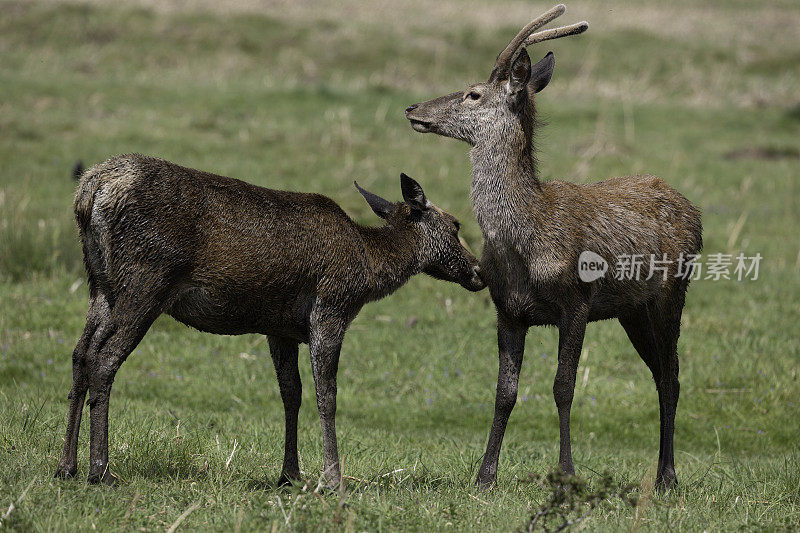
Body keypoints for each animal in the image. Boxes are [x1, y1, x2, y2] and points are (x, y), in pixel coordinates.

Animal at [56, 154, 484, 486]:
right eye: (457, 225)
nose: (479, 271)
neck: (368, 267)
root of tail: (89, 191)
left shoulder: (280, 329)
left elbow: (291, 394)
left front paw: (289, 475)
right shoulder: (330, 310)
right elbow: (326, 395)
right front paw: (332, 478)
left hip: (100, 284)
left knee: (80, 354)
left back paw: (66, 466)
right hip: (145, 281)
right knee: (105, 359)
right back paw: (100, 470)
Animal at [406, 3, 700, 490]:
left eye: (472, 94)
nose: (413, 108)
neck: (523, 241)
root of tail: (694, 213)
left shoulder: (576, 301)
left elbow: (564, 387)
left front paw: (565, 471)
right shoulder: (507, 308)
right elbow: (504, 392)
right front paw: (485, 475)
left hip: (670, 294)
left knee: (672, 378)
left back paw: (668, 476)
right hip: (632, 310)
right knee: (660, 373)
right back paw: (662, 472)